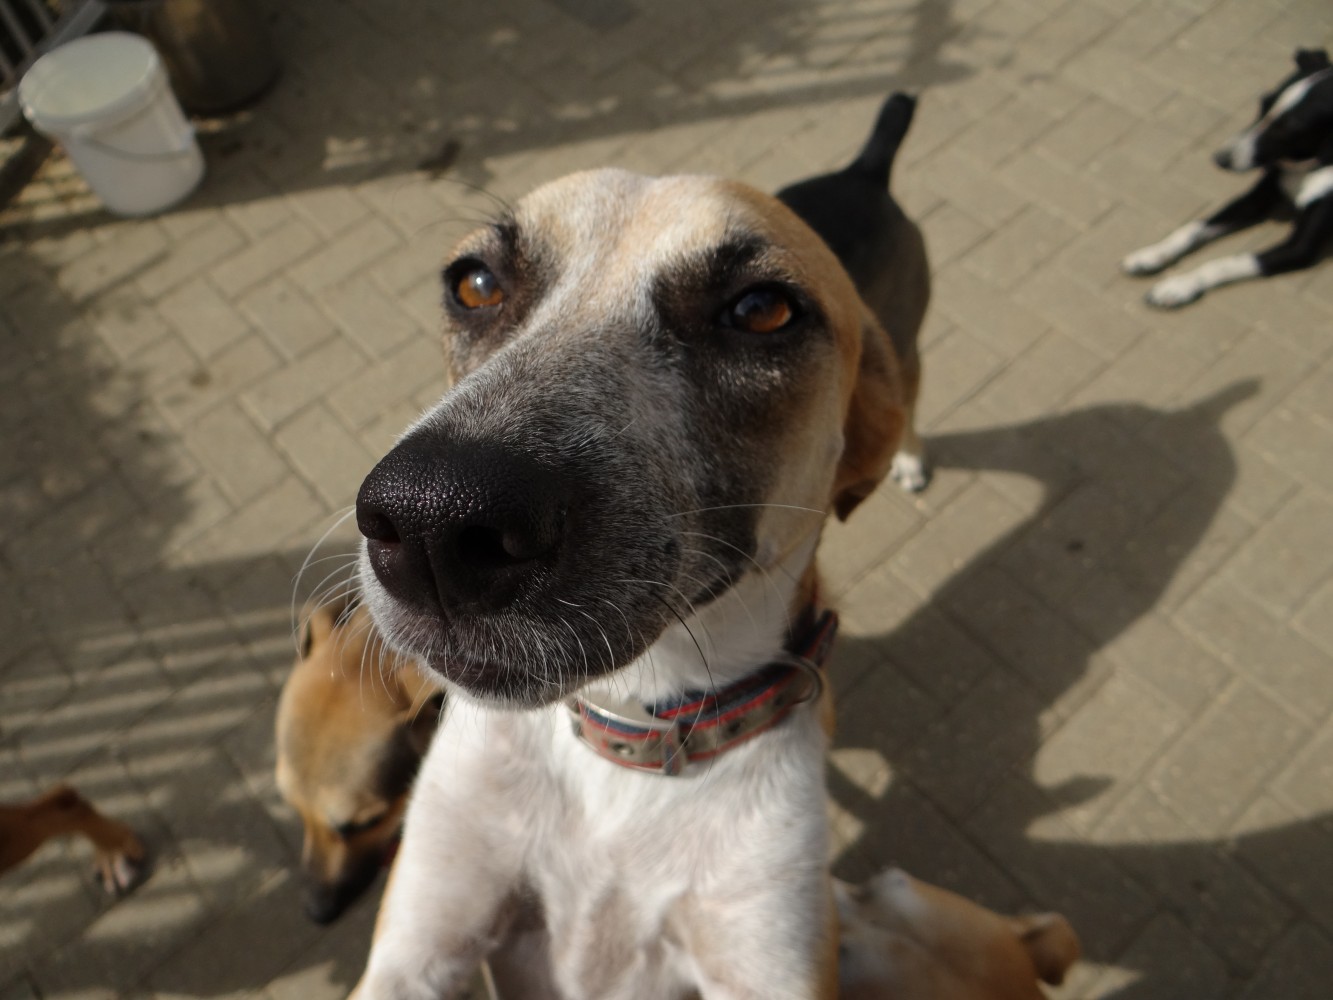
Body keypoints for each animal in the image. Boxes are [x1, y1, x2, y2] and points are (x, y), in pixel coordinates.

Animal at [347, 92, 927, 999]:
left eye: (761, 308)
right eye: (474, 283)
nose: (433, 520)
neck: (626, 742)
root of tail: (865, 166)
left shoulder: (767, 954)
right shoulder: (423, 934)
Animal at [1123, 47, 1333, 308]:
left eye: (1289, 129)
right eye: (1263, 103)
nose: (1219, 160)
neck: (1311, 165)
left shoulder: (1300, 249)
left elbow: (1225, 263)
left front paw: (1180, 285)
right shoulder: (1255, 200)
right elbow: (1193, 228)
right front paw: (1153, 253)